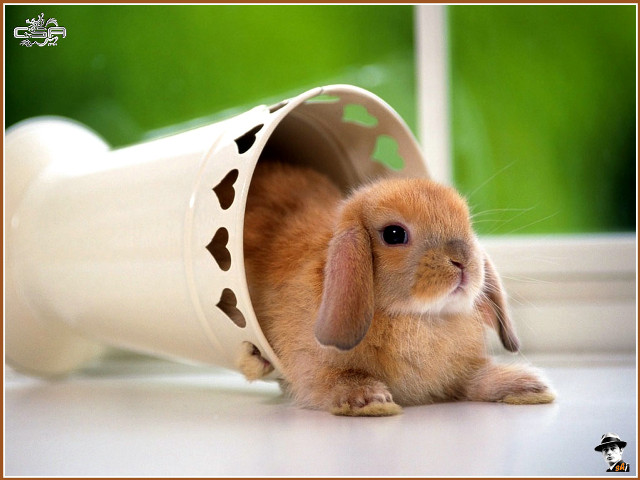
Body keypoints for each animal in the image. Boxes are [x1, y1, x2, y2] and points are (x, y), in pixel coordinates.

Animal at [240, 160, 555, 416]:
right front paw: (372, 401)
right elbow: (338, 379)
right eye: (394, 234)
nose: (462, 260)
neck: (419, 318)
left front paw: (530, 386)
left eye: (467, 225)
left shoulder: (457, 373)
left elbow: (476, 379)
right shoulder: (313, 370)